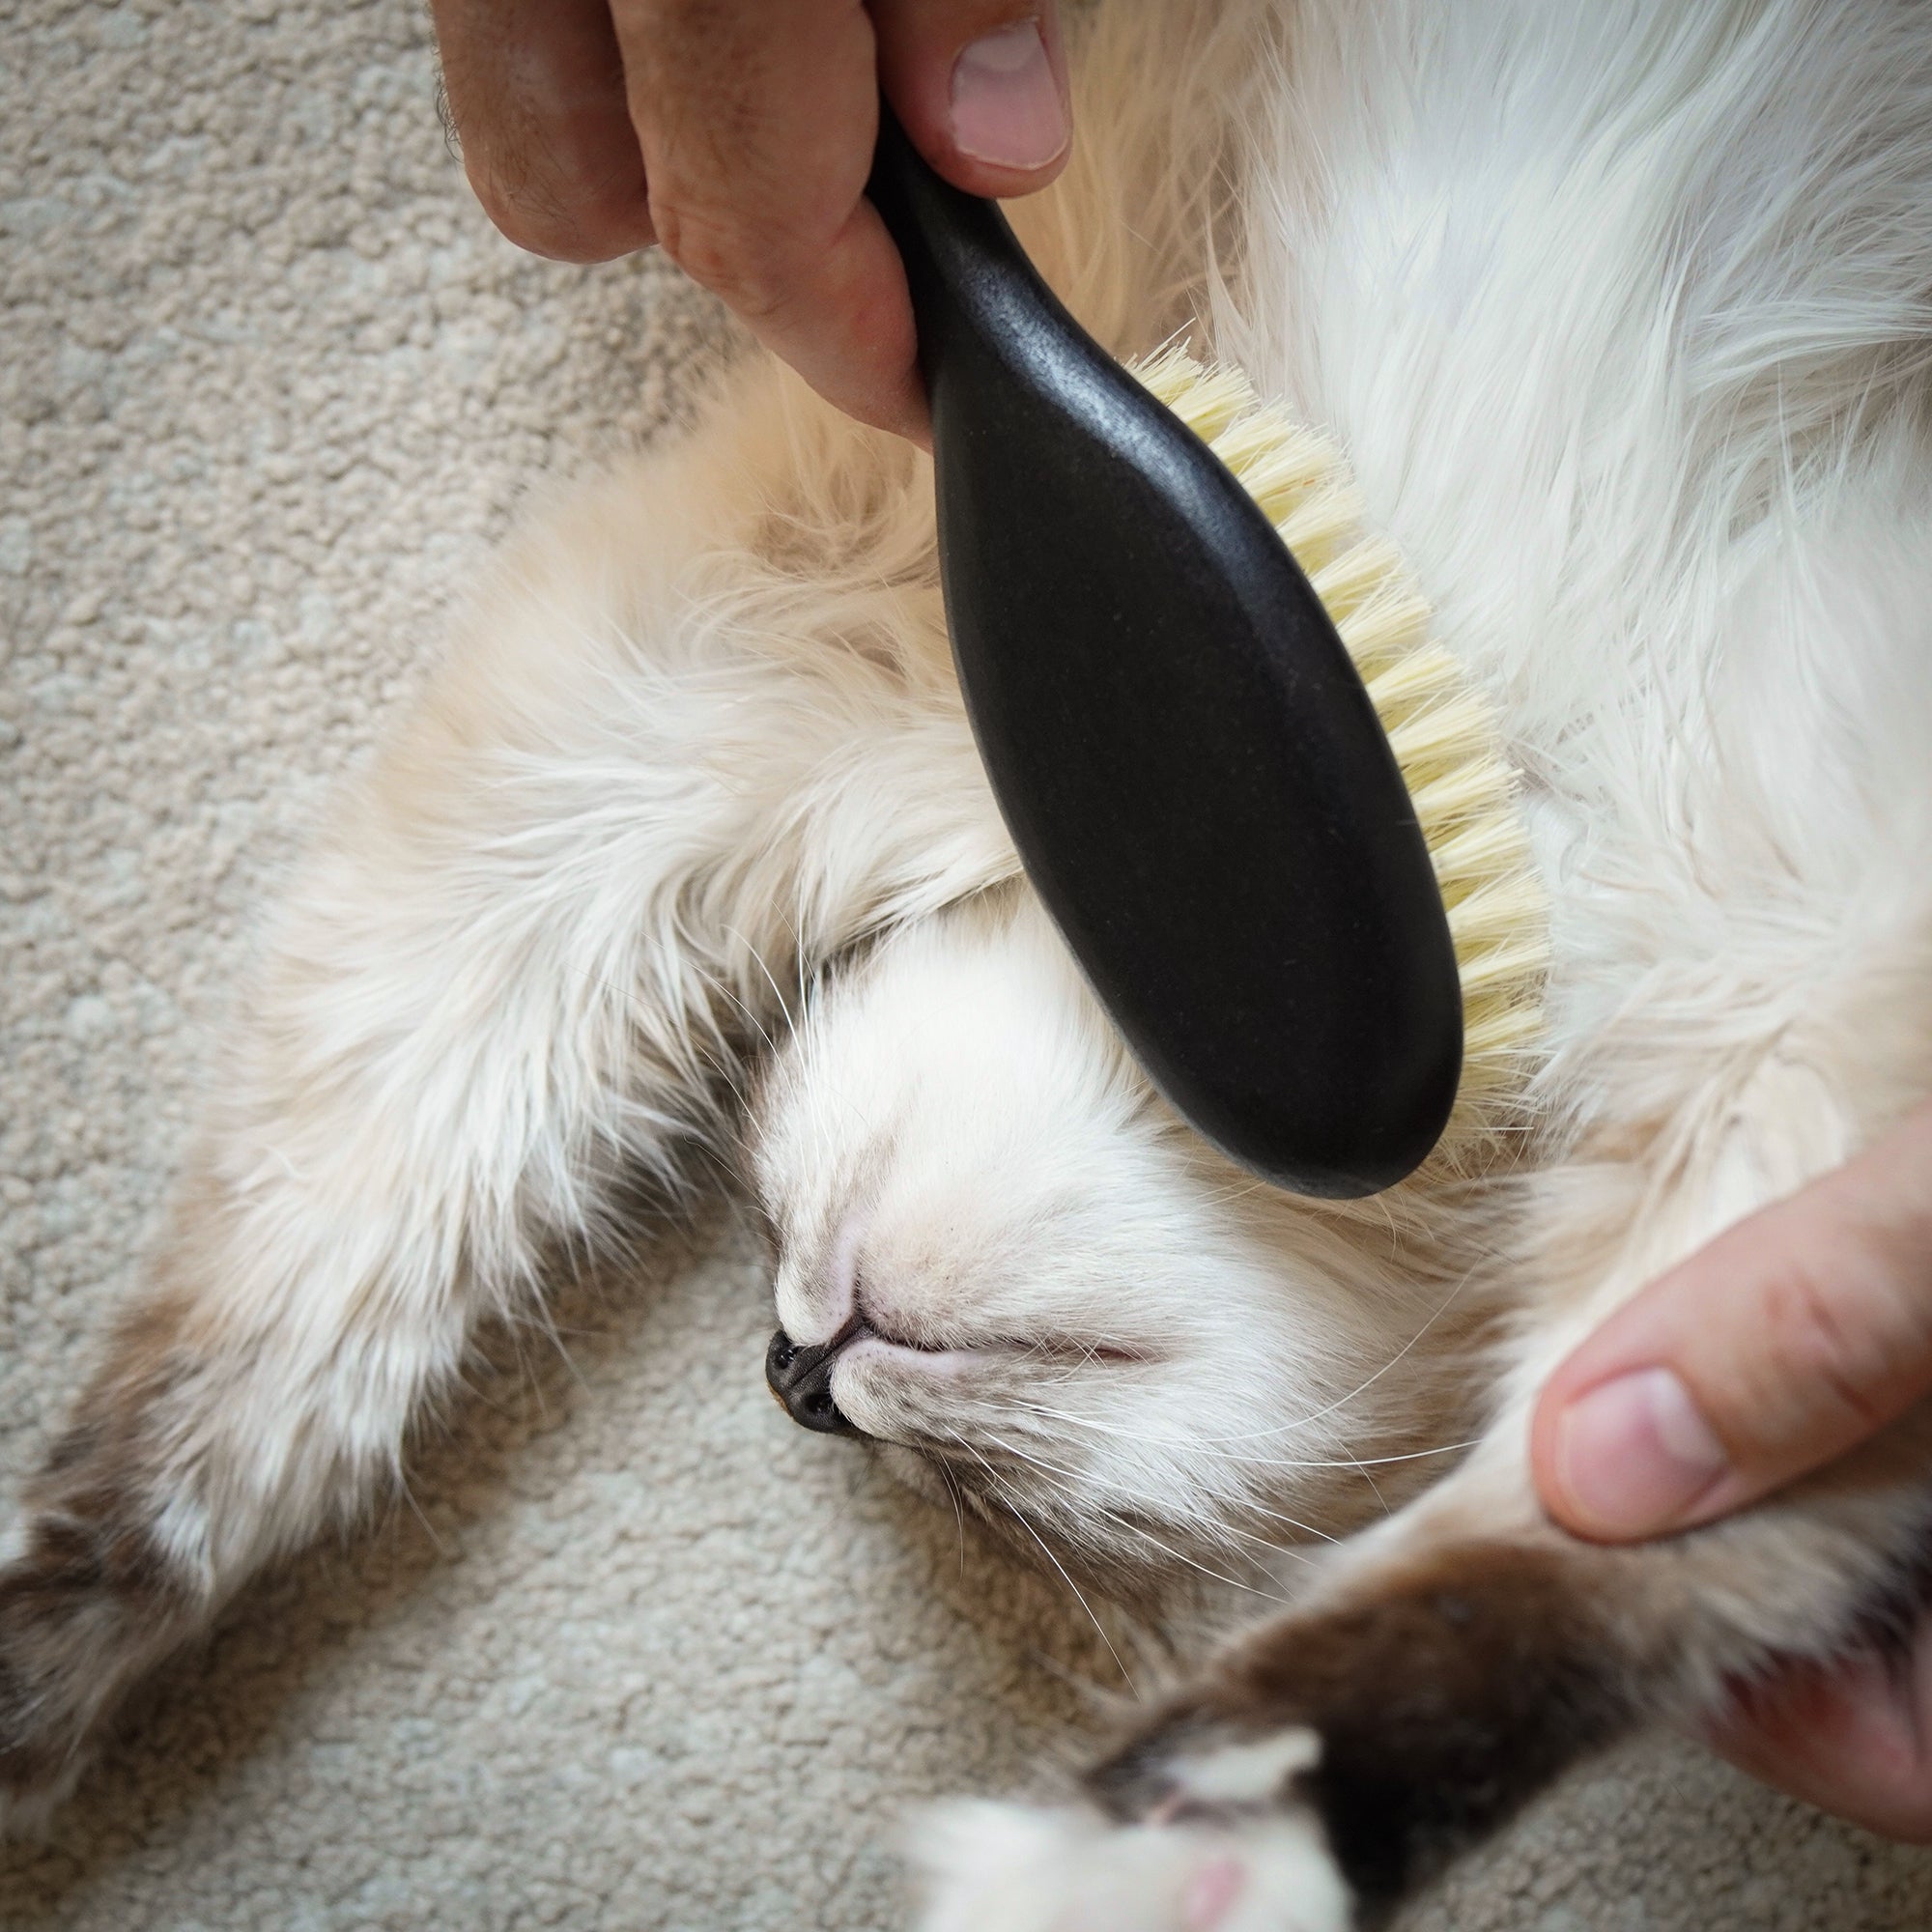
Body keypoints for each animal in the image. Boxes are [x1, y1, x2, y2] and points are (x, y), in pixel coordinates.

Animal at [3, 3, 1932, 1932]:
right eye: (764, 1249)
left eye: (971, 1492)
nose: (793, 1383)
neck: (1538, 778)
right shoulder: (736, 659)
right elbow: (277, 1340)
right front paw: (39, 1677)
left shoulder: (1809, 1036)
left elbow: (1547, 1582)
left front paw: (1180, 1858)